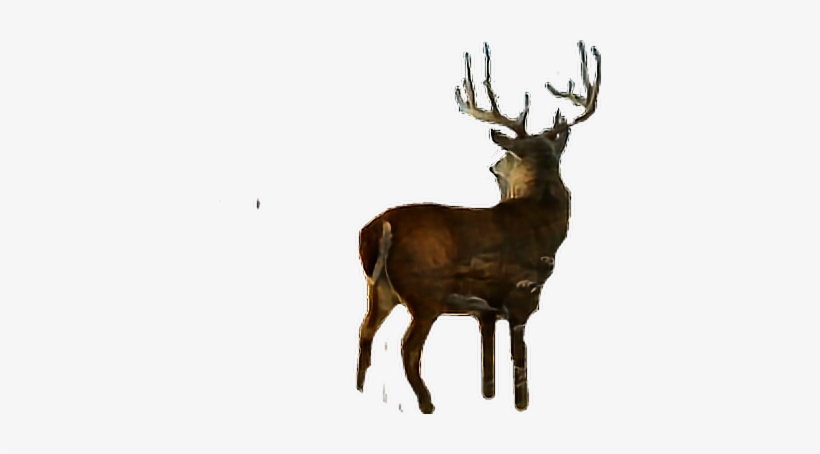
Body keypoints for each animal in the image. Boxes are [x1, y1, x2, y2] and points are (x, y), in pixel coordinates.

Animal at [357, 41, 601, 414]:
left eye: (505, 162)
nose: (493, 165)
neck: (541, 223)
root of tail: (380, 226)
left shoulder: (485, 311)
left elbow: (488, 368)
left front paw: (488, 398)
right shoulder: (522, 294)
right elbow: (519, 365)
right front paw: (521, 406)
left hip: (379, 290)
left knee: (365, 334)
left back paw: (360, 393)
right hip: (425, 293)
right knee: (408, 348)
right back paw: (428, 404)